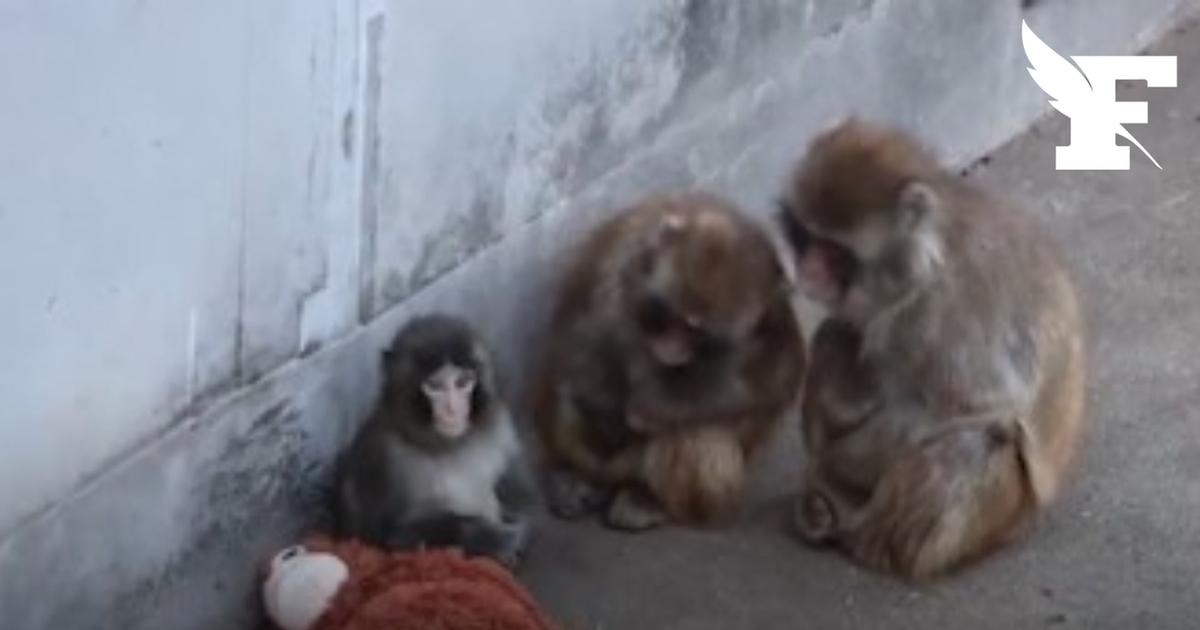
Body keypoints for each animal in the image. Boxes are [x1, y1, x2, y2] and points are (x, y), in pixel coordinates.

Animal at [335, 314, 540, 567]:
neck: (445, 445)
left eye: (462, 382)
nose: (452, 410)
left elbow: (522, 496)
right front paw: (497, 539)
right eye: (434, 386)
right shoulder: (382, 456)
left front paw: (518, 526)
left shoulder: (501, 426)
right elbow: (394, 536)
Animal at [532, 192, 806, 531]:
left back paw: (649, 500)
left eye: (696, 331)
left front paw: (647, 408)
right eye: (669, 316)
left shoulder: (771, 306)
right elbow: (579, 348)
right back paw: (578, 477)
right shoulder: (615, 264)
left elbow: (779, 369)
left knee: (695, 431)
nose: (672, 349)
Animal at [778, 119, 1086, 580]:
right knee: (836, 335)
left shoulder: (941, 311)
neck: (924, 260)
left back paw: (874, 545)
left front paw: (833, 464)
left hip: (1000, 519)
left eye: (833, 251)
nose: (808, 271)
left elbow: (980, 406)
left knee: (973, 444)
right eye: (807, 237)